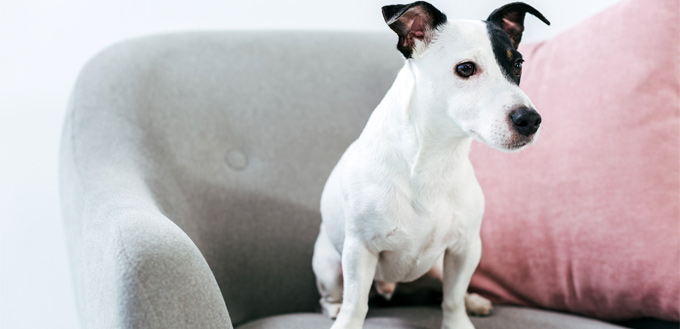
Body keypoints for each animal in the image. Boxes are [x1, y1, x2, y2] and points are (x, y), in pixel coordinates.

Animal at [314, 2, 552, 328]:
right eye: (465, 69)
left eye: (518, 65)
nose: (530, 119)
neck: (435, 157)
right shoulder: (359, 251)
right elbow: (356, 304)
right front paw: (346, 319)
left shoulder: (465, 248)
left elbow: (452, 298)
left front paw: (459, 320)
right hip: (329, 267)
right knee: (333, 297)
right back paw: (335, 307)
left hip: (438, 266)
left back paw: (473, 300)